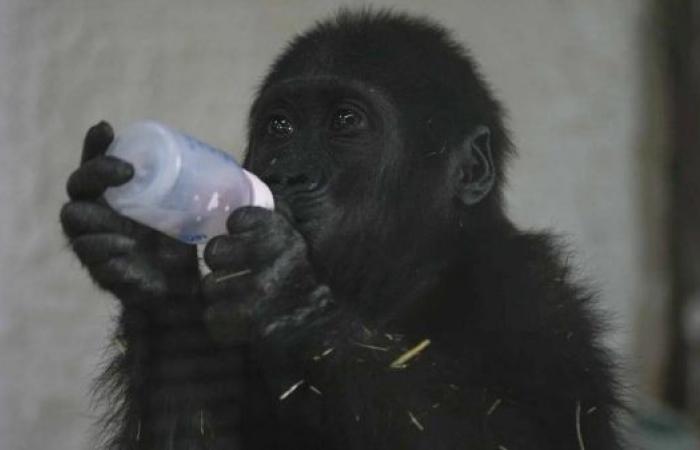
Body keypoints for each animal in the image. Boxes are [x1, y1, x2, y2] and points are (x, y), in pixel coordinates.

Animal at [60, 9, 624, 450]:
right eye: (280, 126)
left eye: (345, 121)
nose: (288, 175)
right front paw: (153, 264)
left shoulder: (536, 297)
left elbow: (531, 436)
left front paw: (286, 299)